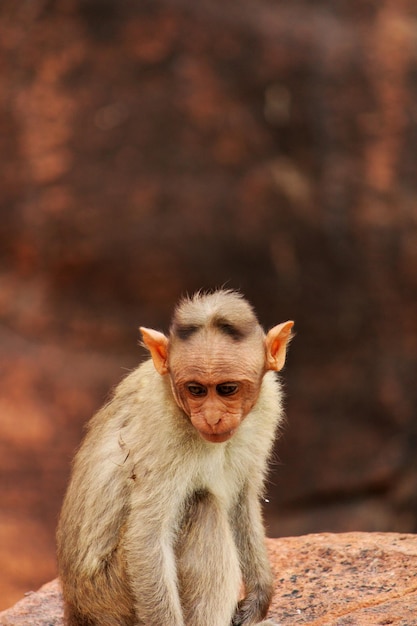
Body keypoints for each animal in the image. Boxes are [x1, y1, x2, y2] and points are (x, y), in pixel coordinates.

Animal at [57, 290, 294, 624]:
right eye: (195, 390)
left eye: (227, 389)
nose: (212, 417)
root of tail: (77, 609)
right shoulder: (162, 430)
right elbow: (147, 538)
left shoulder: (268, 404)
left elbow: (242, 499)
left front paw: (259, 598)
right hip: (112, 597)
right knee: (202, 506)